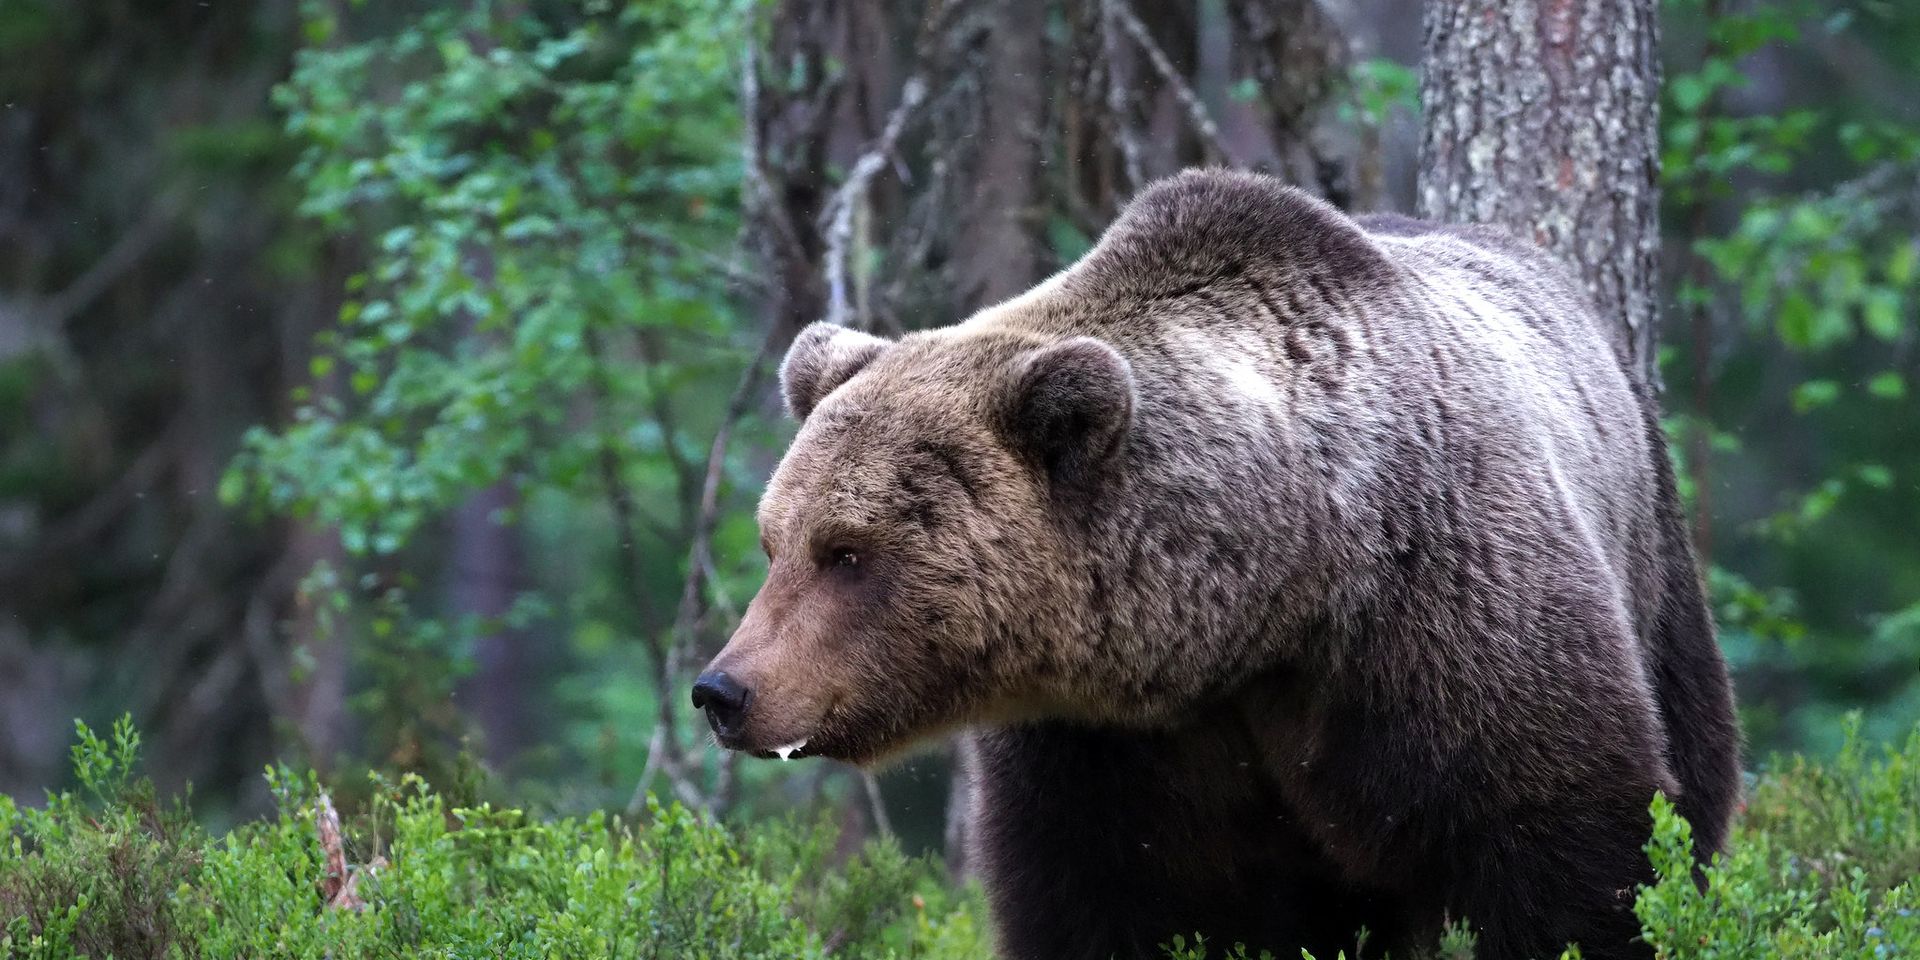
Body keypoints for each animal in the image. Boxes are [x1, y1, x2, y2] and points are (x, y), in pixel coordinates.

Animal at [691, 169, 1741, 960]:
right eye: (775, 542)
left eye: (849, 550)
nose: (724, 690)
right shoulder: (1104, 751)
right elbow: (1093, 903)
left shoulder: (1439, 622)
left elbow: (1573, 851)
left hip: (1656, 568)